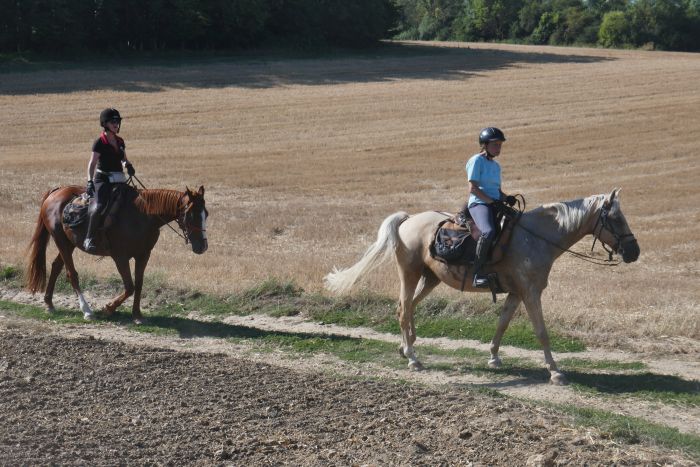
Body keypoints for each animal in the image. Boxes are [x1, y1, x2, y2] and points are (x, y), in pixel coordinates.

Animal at [27, 185, 208, 324]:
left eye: (206, 213)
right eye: (191, 214)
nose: (203, 246)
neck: (143, 216)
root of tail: (56, 192)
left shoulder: (143, 255)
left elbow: (138, 284)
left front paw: (137, 315)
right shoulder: (120, 257)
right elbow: (129, 286)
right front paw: (108, 308)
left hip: (69, 243)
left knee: (56, 266)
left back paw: (49, 303)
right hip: (61, 241)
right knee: (72, 274)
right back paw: (87, 311)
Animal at [324, 188, 640, 386]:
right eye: (615, 218)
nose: (633, 252)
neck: (535, 238)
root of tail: (408, 220)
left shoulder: (516, 293)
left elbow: (502, 324)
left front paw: (493, 357)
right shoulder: (531, 293)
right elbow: (541, 332)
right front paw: (555, 372)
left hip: (430, 278)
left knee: (407, 307)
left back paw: (407, 348)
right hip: (410, 274)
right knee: (404, 310)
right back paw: (413, 359)